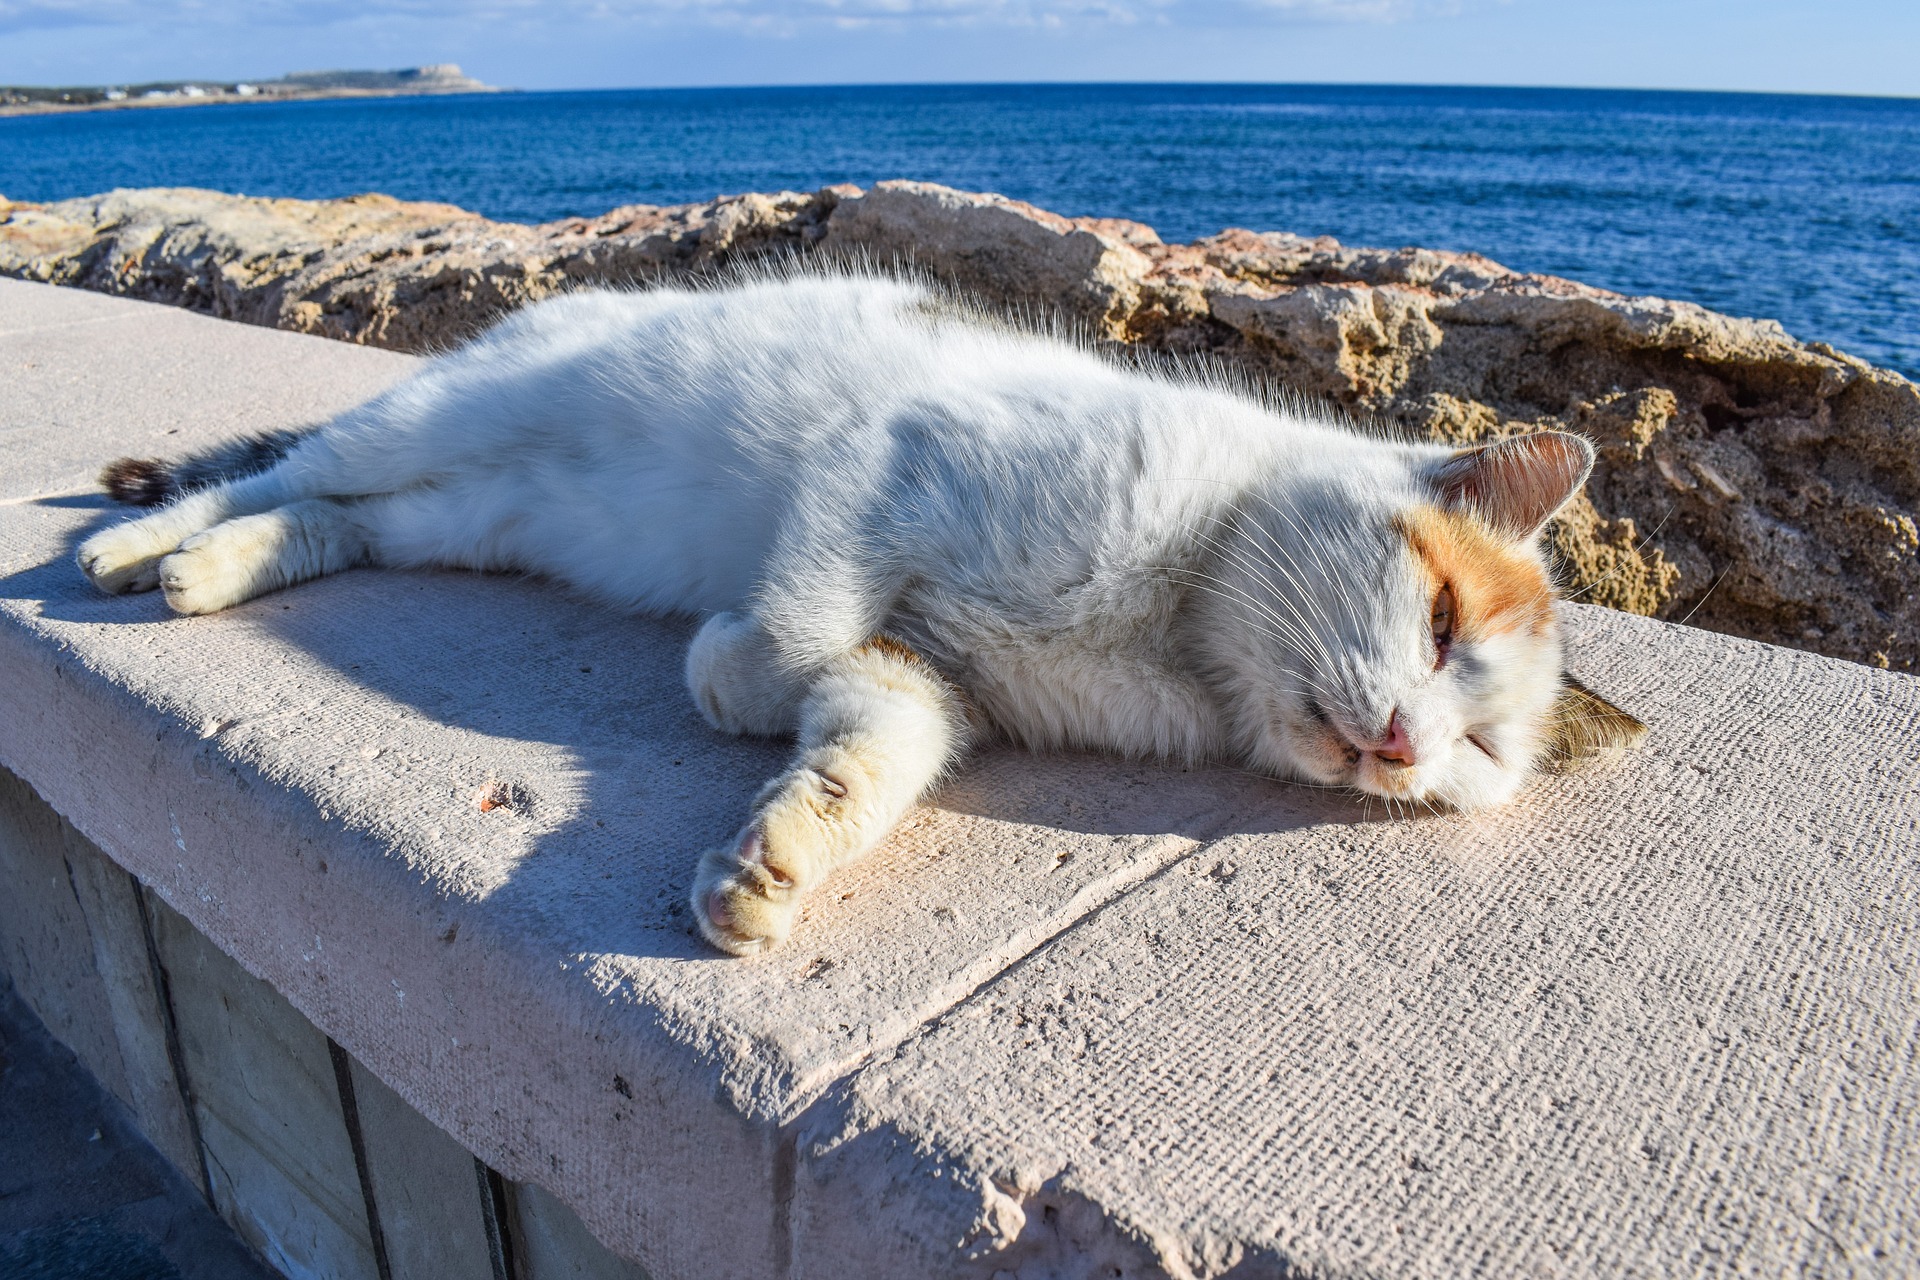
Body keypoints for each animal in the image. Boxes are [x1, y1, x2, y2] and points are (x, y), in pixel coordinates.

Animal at [71, 272, 1635, 951]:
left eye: (1480, 756)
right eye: (1442, 622)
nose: (1404, 747)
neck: (1180, 629)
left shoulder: (923, 679)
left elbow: (865, 754)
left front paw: (770, 867)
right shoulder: (883, 464)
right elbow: (790, 619)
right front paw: (727, 669)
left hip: (470, 517)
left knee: (338, 517)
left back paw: (216, 567)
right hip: (451, 414)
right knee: (283, 467)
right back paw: (142, 545)